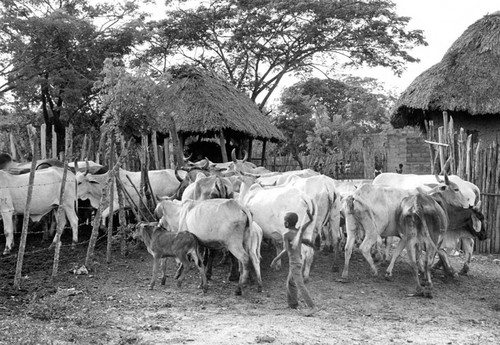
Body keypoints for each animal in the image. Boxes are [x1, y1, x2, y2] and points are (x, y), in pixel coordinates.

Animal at [342, 175, 470, 280]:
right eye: (456, 189)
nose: (468, 203)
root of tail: (356, 195)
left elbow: (417, 251)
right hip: (373, 231)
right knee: (364, 248)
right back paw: (374, 270)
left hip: (351, 227)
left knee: (348, 248)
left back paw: (345, 274)